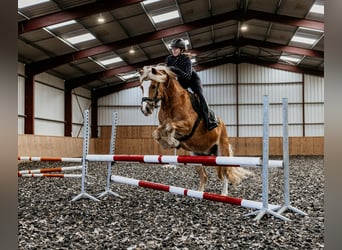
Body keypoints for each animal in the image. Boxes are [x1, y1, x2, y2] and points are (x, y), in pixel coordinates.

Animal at [137, 65, 251, 195]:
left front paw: (173, 142)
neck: (172, 102)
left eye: (153, 86)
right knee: (204, 176)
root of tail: (222, 125)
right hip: (196, 156)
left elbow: (170, 126)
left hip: (222, 152)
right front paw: (170, 143)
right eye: (141, 87)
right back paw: (198, 193)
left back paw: (223, 193)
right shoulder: (162, 125)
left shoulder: (188, 125)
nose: (145, 109)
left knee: (225, 173)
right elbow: (156, 133)